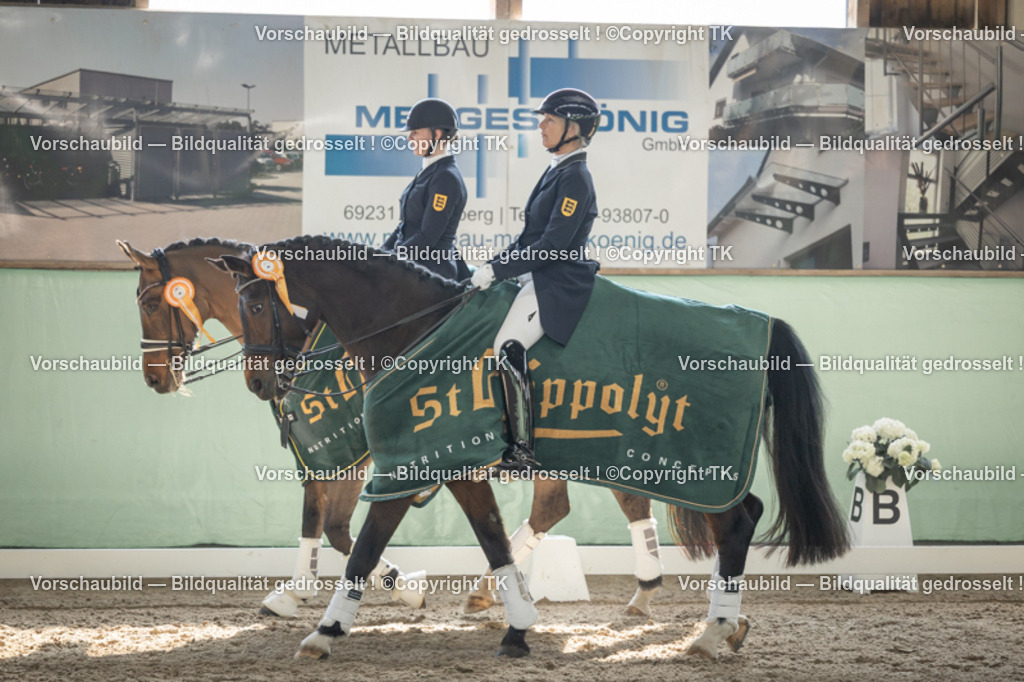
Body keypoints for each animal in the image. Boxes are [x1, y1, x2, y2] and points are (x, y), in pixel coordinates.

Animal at [118, 237, 426, 617]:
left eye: (150, 305)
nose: (153, 378)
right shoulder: (316, 445)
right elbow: (324, 521)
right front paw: (299, 590)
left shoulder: (337, 446)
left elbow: (330, 524)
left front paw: (403, 586)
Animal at [212, 235, 850, 660]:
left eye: (258, 305)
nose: (259, 383)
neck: (415, 328)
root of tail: (761, 323)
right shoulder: (453, 464)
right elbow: (492, 537)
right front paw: (516, 624)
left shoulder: (412, 456)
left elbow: (365, 545)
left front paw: (325, 631)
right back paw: (719, 625)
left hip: (695, 465)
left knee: (736, 521)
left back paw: (711, 630)